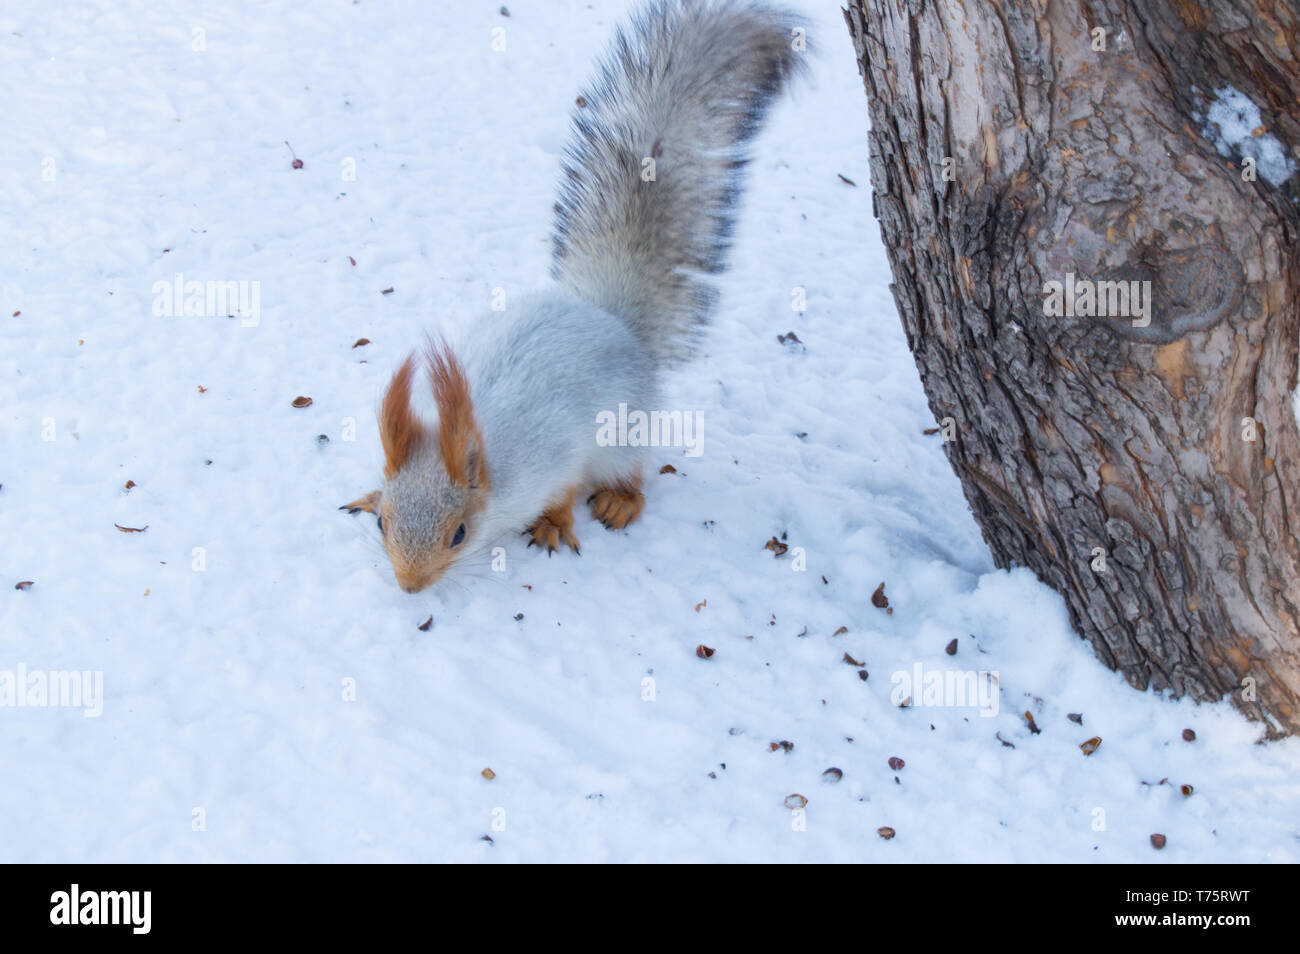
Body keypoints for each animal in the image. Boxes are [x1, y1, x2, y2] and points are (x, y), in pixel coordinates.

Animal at [344, 0, 804, 592]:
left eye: (459, 534)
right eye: (383, 522)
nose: (410, 586)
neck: (483, 452)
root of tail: (609, 319)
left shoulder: (556, 458)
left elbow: (561, 491)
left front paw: (553, 524)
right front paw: (367, 491)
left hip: (624, 431)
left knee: (631, 472)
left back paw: (620, 501)